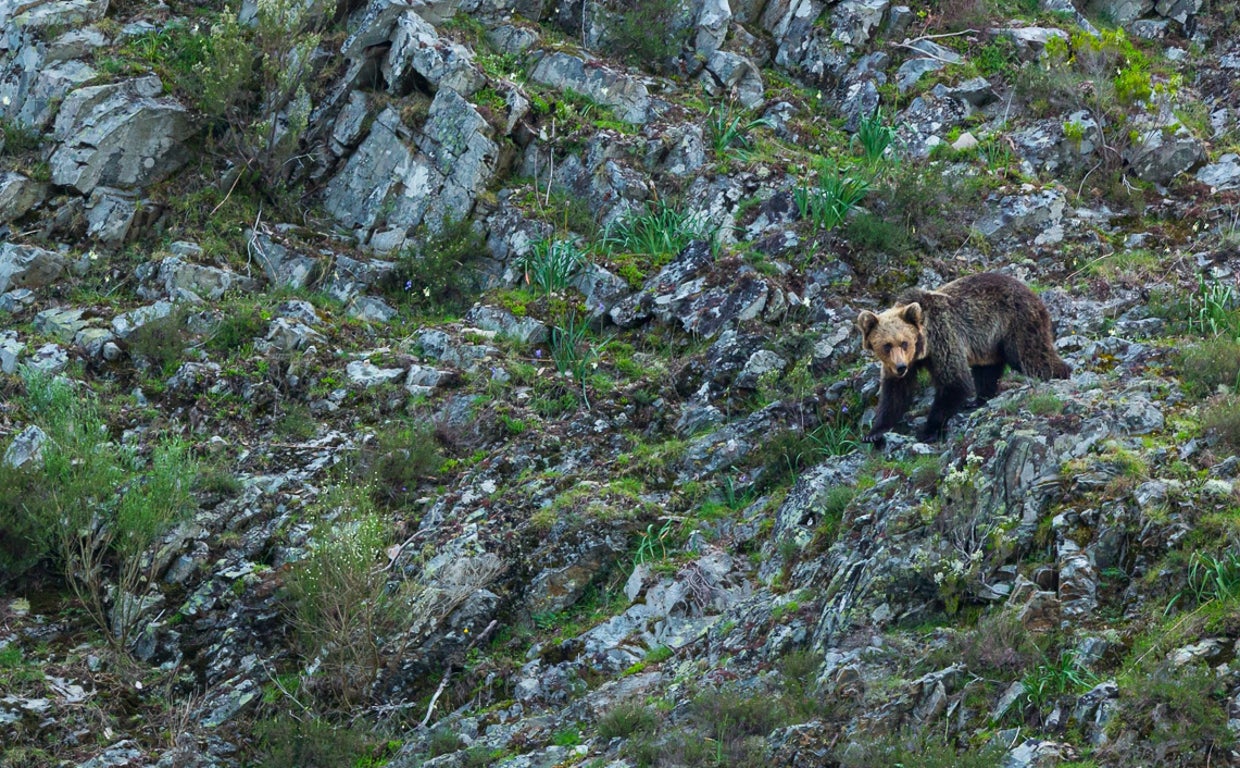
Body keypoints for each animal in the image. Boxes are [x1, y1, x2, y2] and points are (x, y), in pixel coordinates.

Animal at [856, 272, 1071, 443]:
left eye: (904, 342)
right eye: (886, 345)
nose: (900, 367)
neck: (924, 347)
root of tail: (1032, 292)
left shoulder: (943, 338)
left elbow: (955, 382)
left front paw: (928, 430)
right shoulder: (905, 364)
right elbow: (894, 393)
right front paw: (874, 432)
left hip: (1017, 323)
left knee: (1031, 356)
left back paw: (1061, 373)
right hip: (988, 343)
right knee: (987, 371)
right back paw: (979, 399)